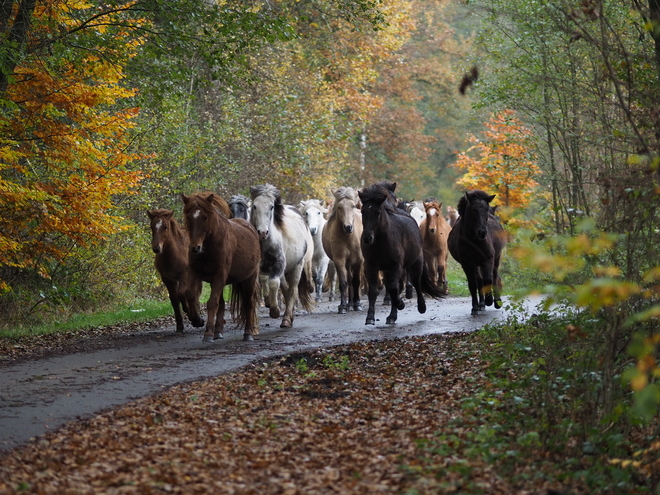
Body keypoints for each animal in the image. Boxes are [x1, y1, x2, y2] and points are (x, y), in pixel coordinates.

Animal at [183, 193, 262, 340]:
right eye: (188, 217)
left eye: (205, 217)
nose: (195, 248)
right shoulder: (195, 272)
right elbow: (190, 295)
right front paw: (197, 320)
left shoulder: (220, 275)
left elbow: (212, 303)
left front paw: (208, 333)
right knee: (222, 304)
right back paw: (218, 331)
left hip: (249, 278)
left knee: (248, 303)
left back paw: (248, 333)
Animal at [251, 184, 316, 328]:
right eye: (254, 206)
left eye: (271, 207)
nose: (262, 232)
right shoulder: (261, 268)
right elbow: (264, 282)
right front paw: (269, 303)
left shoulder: (278, 265)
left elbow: (274, 283)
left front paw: (275, 311)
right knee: (286, 289)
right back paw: (289, 316)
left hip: (297, 267)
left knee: (292, 290)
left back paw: (286, 319)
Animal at [320, 186, 364, 314]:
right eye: (339, 207)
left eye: (353, 206)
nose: (348, 227)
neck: (348, 237)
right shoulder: (339, 260)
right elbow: (344, 283)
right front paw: (343, 306)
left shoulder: (358, 261)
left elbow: (356, 281)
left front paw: (357, 304)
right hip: (347, 263)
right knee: (349, 281)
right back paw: (349, 304)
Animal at [358, 182, 446, 326]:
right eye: (363, 211)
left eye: (377, 212)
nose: (367, 238)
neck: (381, 240)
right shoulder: (372, 266)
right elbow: (373, 290)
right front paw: (370, 317)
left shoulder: (395, 266)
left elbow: (395, 289)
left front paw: (401, 304)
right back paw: (392, 316)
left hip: (415, 263)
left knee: (415, 282)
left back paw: (420, 307)